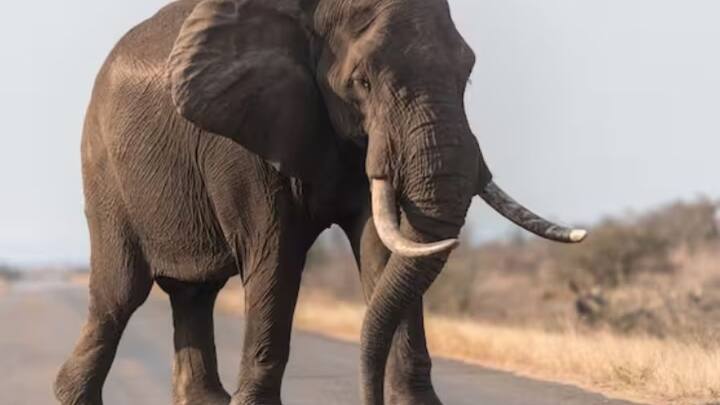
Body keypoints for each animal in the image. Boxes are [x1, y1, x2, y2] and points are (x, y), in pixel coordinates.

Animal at [54, 0, 584, 404]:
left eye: (467, 74)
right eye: (363, 82)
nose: (367, 398)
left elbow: (384, 250)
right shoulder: (241, 138)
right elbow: (275, 258)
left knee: (194, 294)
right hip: (104, 171)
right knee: (119, 295)